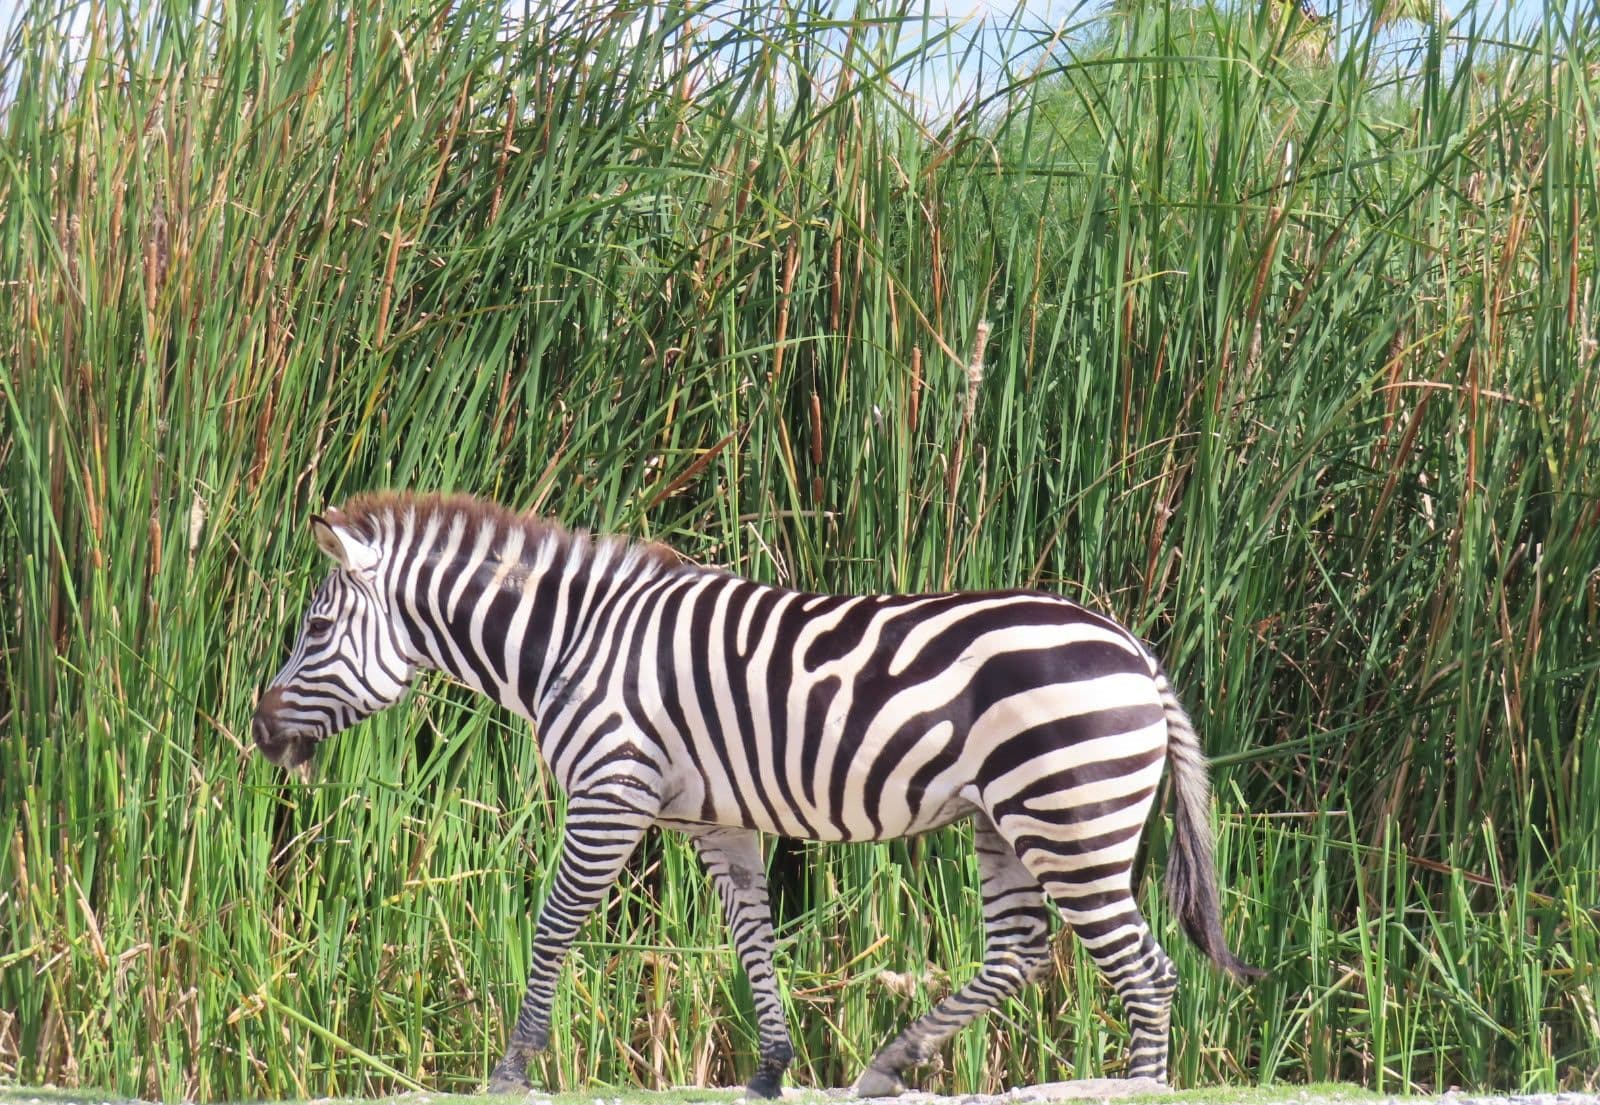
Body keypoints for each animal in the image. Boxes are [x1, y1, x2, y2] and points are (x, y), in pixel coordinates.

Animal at [252, 491, 1261, 1096]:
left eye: (314, 630)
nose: (258, 728)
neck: (571, 642)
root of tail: (1134, 649)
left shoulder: (610, 792)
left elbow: (553, 926)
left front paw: (511, 1067)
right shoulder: (717, 819)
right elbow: (753, 936)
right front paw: (772, 1067)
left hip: (1069, 817)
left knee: (1147, 969)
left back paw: (1128, 1086)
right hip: (1004, 822)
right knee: (1020, 949)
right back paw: (889, 1061)